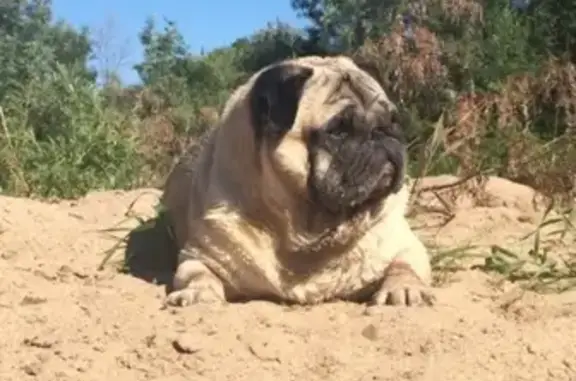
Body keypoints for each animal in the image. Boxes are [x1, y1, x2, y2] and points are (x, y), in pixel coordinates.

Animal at [161, 55, 432, 308]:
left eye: (393, 121)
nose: (381, 134)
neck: (309, 239)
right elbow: (198, 275)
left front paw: (405, 288)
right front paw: (198, 292)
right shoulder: (198, 256)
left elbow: (403, 267)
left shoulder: (407, 248)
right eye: (338, 131)